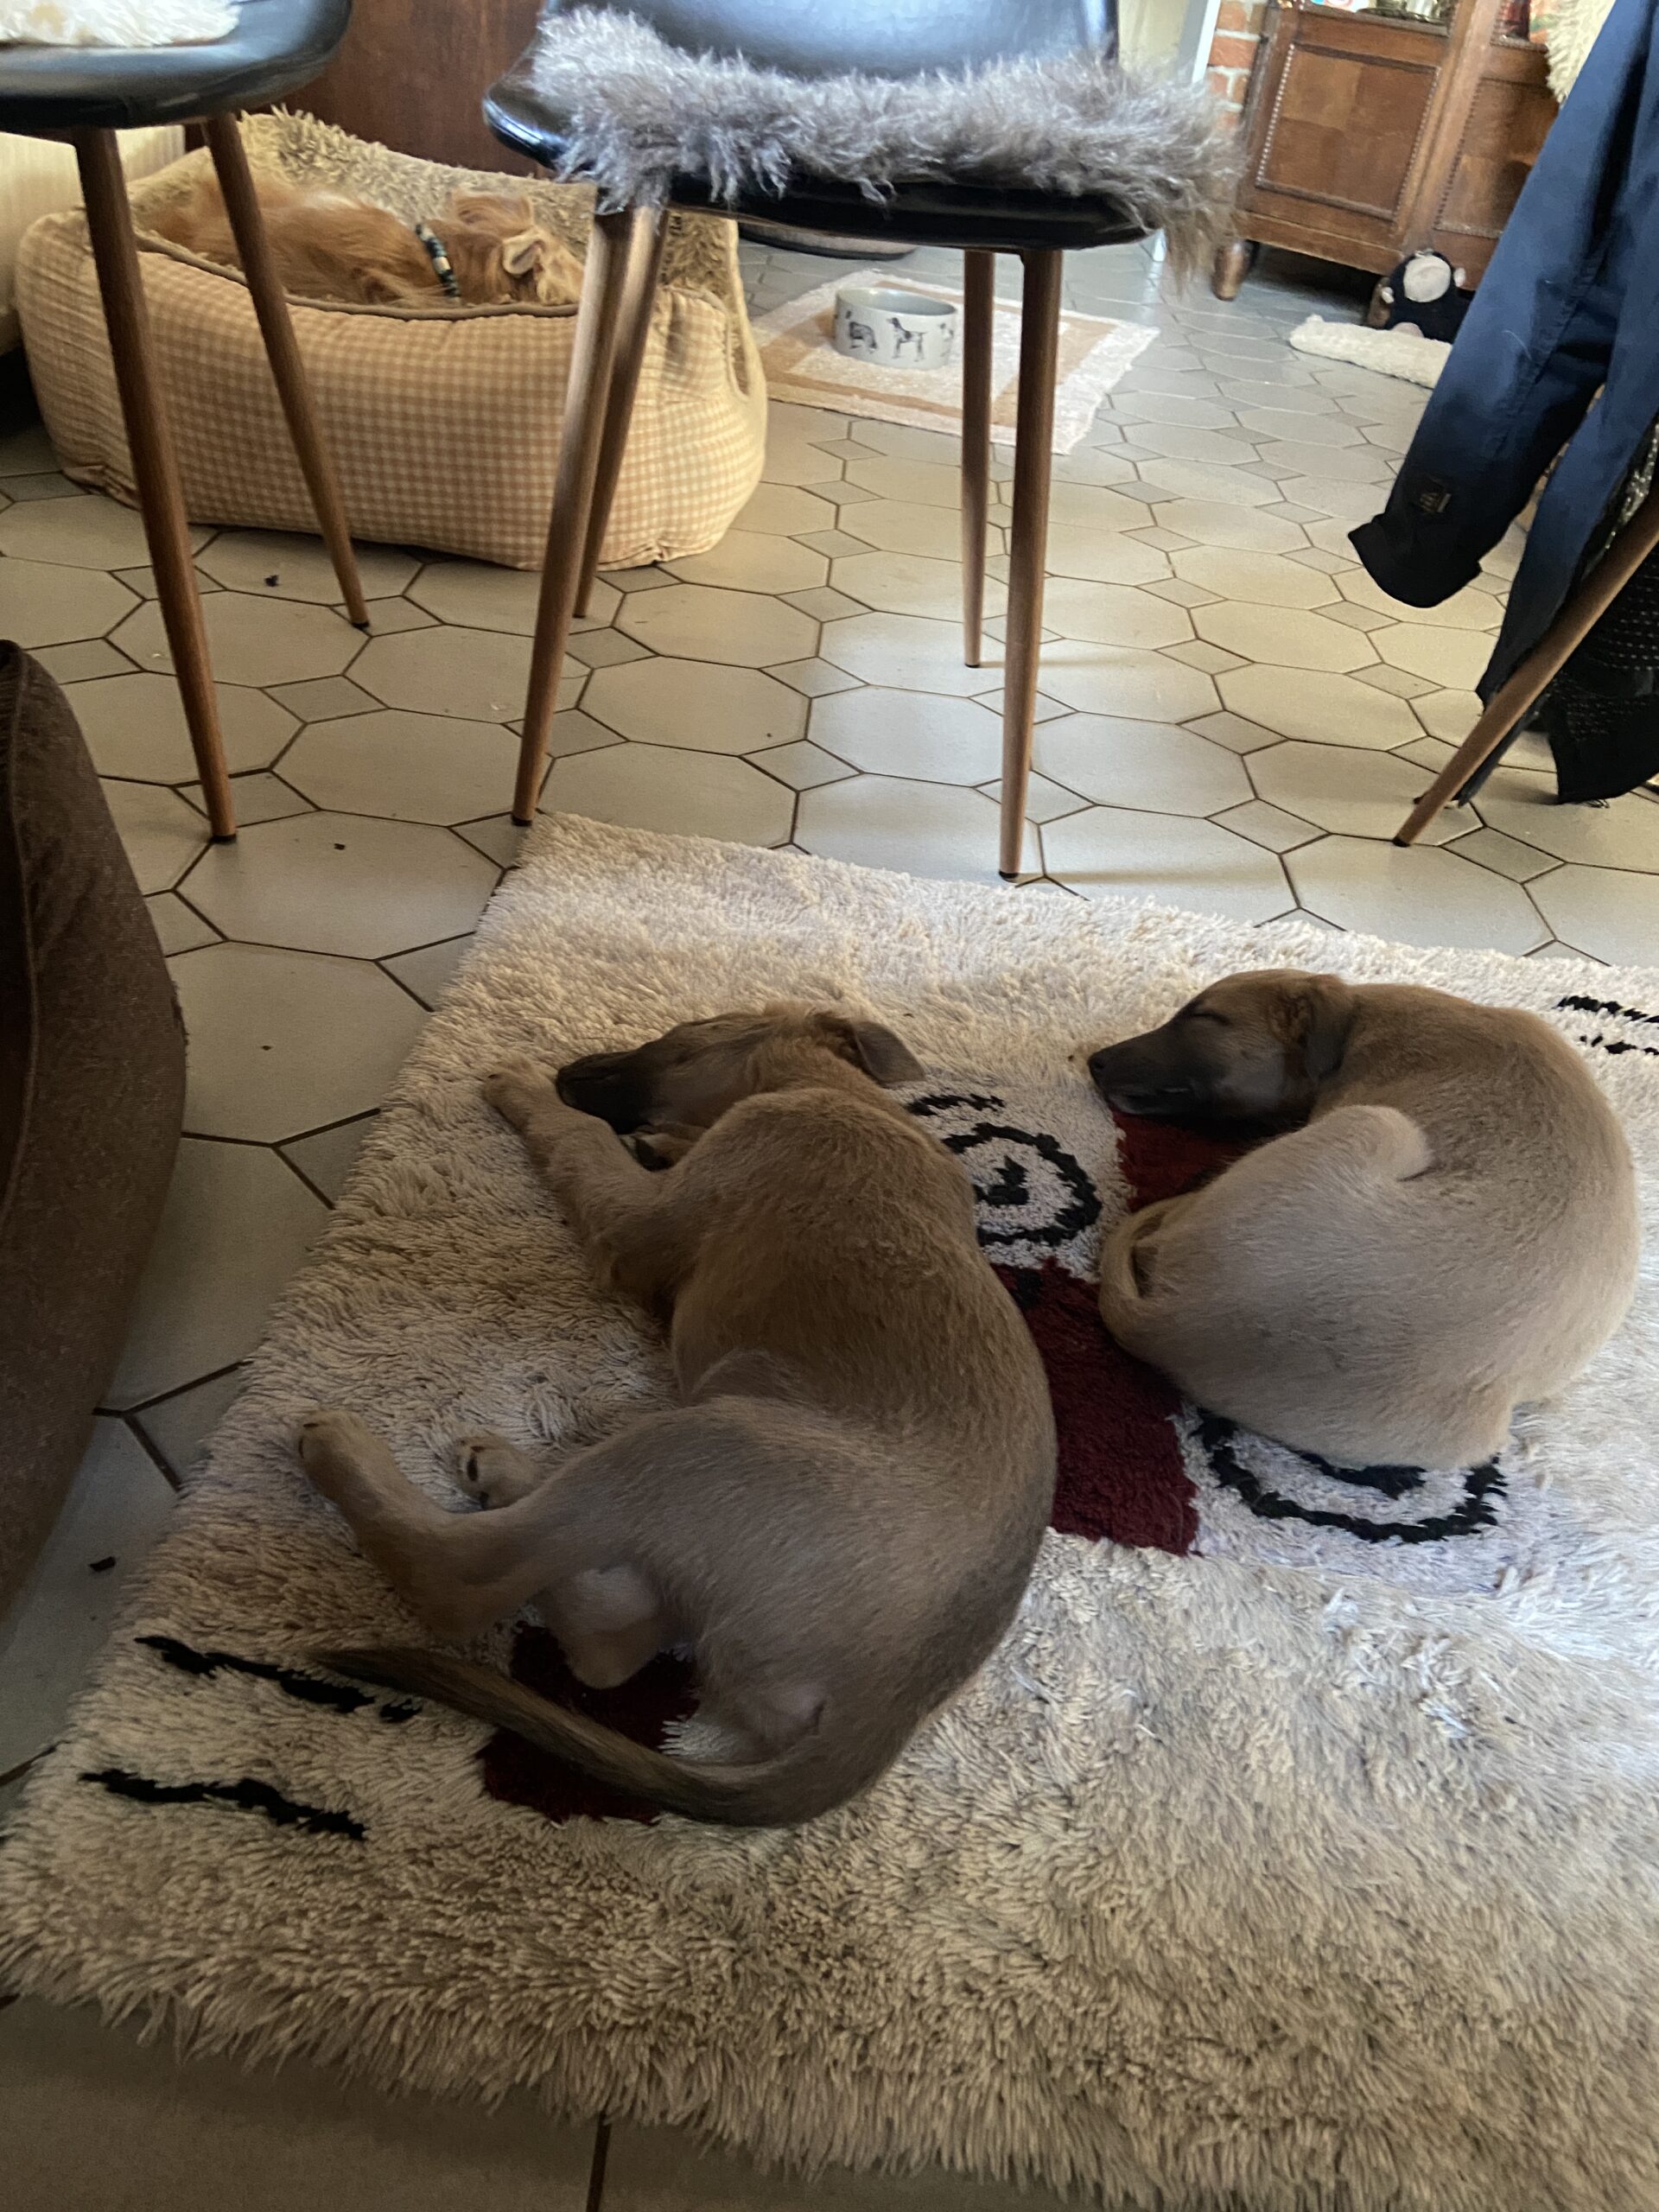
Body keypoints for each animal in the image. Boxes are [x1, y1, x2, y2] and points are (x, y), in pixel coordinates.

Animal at [298, 1005, 1057, 1828]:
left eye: (683, 1032)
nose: (567, 1071)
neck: (844, 1092)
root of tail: (887, 1706)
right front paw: (658, 1140)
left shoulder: (635, 1219)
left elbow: (579, 1139)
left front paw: (529, 1092)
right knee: (607, 1649)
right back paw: (503, 1473)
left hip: (701, 1441)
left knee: (461, 1577)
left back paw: (347, 1453)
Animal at [1088, 971, 1638, 1468]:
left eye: (1205, 1017)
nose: (1093, 1061)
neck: (1362, 1022)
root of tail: (1174, 1322)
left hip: (1382, 1125)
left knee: (1154, 1236)